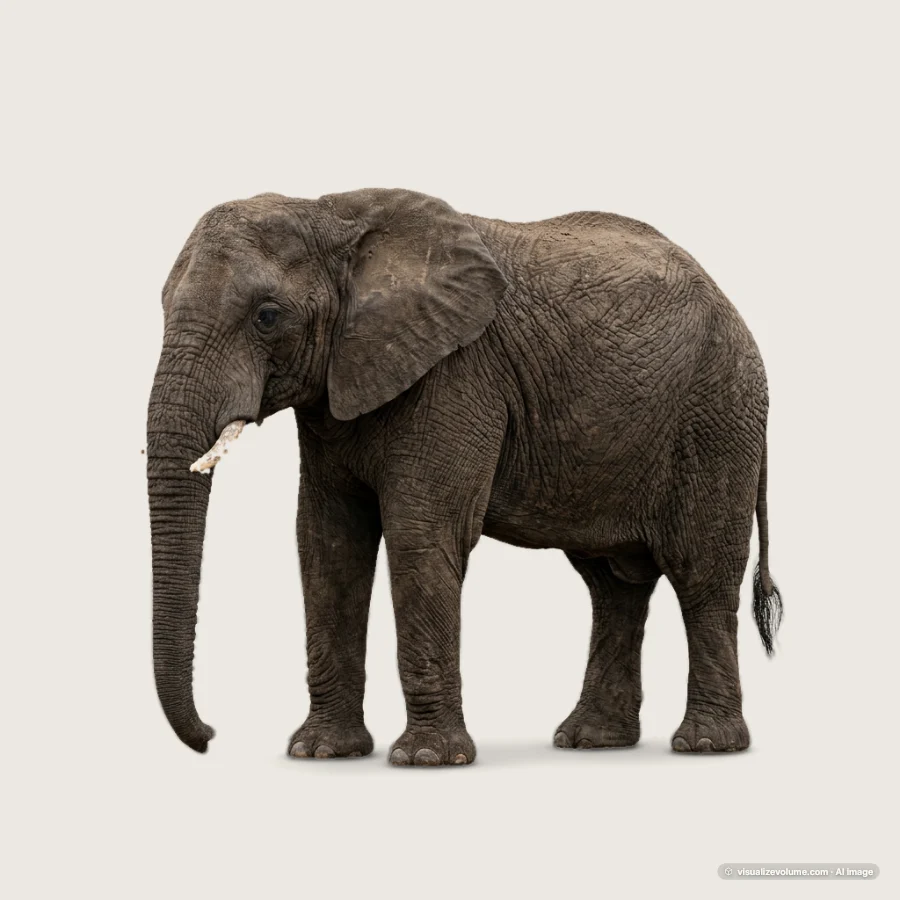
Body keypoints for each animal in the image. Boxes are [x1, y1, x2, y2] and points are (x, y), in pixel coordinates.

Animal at [147, 188, 782, 765]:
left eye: (267, 316)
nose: (210, 737)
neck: (332, 212)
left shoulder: (455, 374)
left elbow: (421, 535)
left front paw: (427, 759)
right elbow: (328, 543)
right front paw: (320, 752)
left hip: (718, 417)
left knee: (701, 574)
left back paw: (706, 745)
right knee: (613, 585)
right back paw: (590, 741)